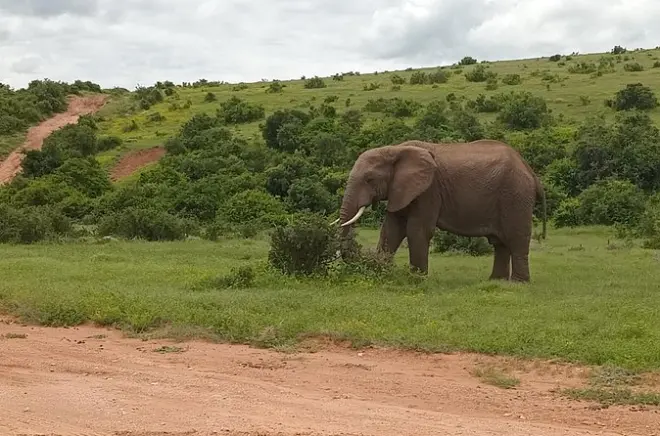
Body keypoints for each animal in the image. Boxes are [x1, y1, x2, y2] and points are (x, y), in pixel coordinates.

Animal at [333, 139, 547, 282]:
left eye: (369, 179)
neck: (395, 150)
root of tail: (530, 171)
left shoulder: (429, 190)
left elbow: (417, 230)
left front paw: (417, 279)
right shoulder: (401, 190)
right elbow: (391, 230)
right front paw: (382, 271)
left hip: (515, 195)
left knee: (516, 239)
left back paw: (518, 284)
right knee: (500, 243)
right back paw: (496, 281)